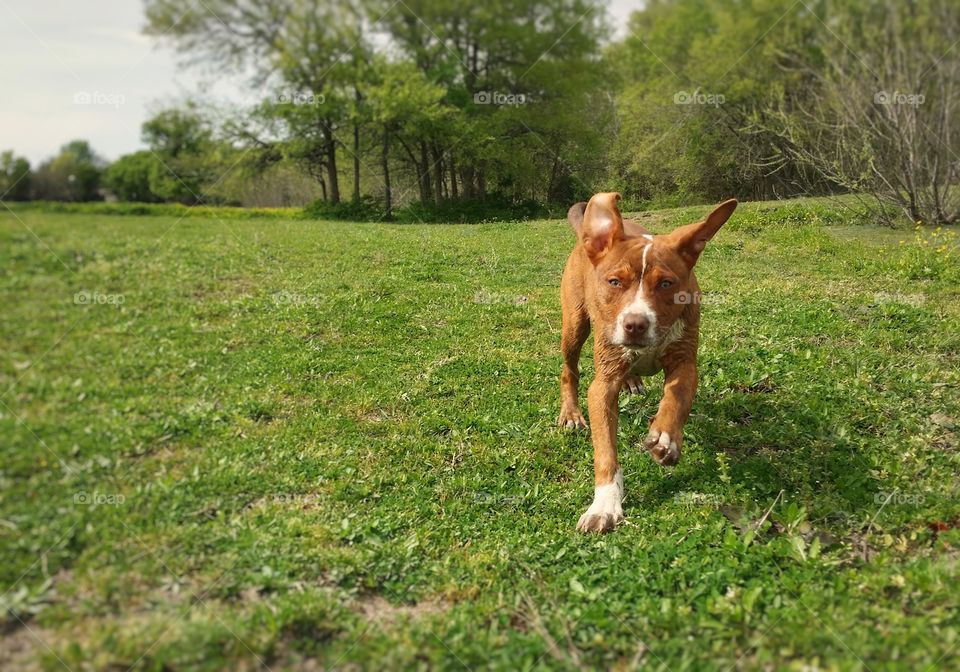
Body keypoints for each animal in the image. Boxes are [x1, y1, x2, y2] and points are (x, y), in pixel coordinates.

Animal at [560, 192, 740, 532]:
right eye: (614, 282)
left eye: (666, 284)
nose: (635, 324)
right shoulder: (602, 385)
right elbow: (605, 449)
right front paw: (604, 504)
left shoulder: (685, 363)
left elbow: (676, 398)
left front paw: (666, 439)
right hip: (574, 326)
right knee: (569, 371)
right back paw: (571, 414)